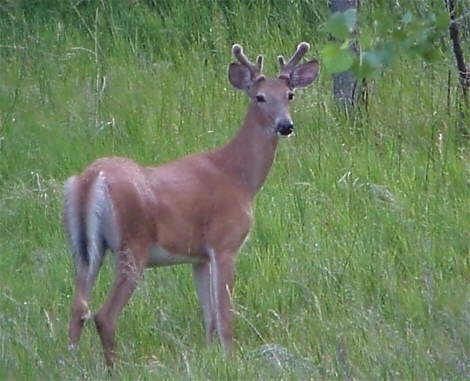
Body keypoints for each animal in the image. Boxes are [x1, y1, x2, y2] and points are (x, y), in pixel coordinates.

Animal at [63, 42, 320, 366]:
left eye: (290, 95)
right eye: (259, 97)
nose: (285, 125)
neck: (239, 177)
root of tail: (91, 179)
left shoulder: (198, 257)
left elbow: (208, 317)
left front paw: (210, 358)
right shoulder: (224, 243)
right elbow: (224, 316)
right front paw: (231, 360)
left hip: (84, 250)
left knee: (77, 307)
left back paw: (69, 363)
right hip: (133, 244)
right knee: (104, 315)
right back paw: (113, 368)